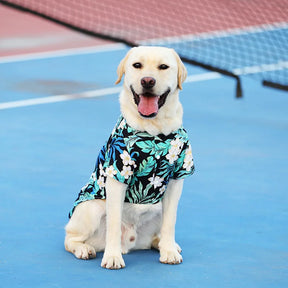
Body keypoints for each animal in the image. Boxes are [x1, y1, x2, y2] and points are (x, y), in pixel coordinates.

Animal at [65, 46, 195, 268]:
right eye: (137, 65)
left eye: (163, 66)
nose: (147, 81)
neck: (154, 133)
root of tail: (132, 242)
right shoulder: (117, 175)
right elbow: (114, 223)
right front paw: (112, 256)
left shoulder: (178, 176)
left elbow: (170, 222)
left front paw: (169, 251)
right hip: (91, 209)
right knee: (70, 238)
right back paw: (85, 249)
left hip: (157, 208)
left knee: (157, 234)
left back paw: (164, 244)